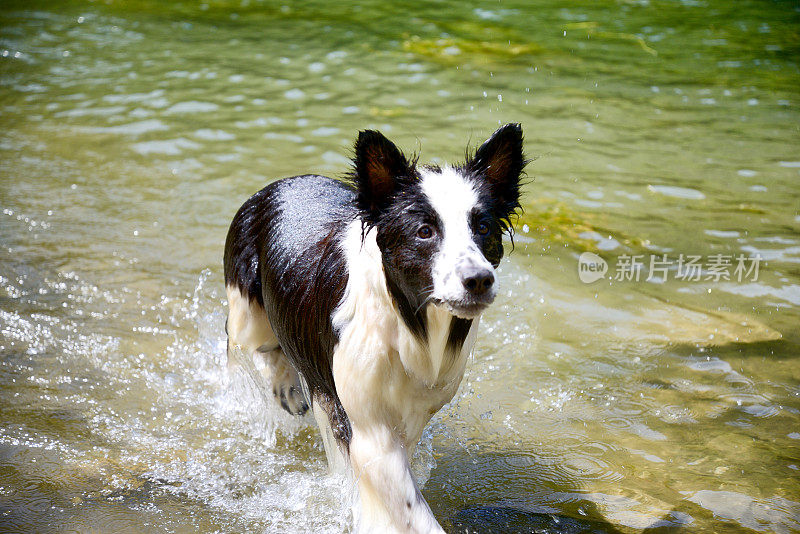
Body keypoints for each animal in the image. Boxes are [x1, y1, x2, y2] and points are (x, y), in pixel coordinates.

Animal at [223, 123, 524, 532]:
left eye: (483, 227)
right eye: (424, 231)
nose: (478, 280)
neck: (406, 321)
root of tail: (276, 186)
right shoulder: (370, 430)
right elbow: (412, 511)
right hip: (246, 314)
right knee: (243, 342)